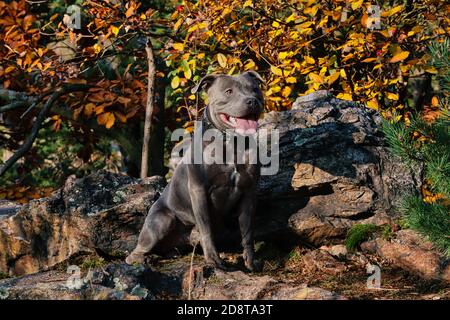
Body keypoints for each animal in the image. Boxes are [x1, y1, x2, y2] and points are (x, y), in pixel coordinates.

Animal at [125, 71, 264, 272]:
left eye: (255, 89)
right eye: (229, 91)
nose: (252, 101)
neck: (231, 142)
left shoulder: (249, 191)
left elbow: (247, 231)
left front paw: (251, 262)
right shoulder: (199, 190)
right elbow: (206, 228)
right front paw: (214, 261)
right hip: (163, 220)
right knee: (135, 252)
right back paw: (144, 259)